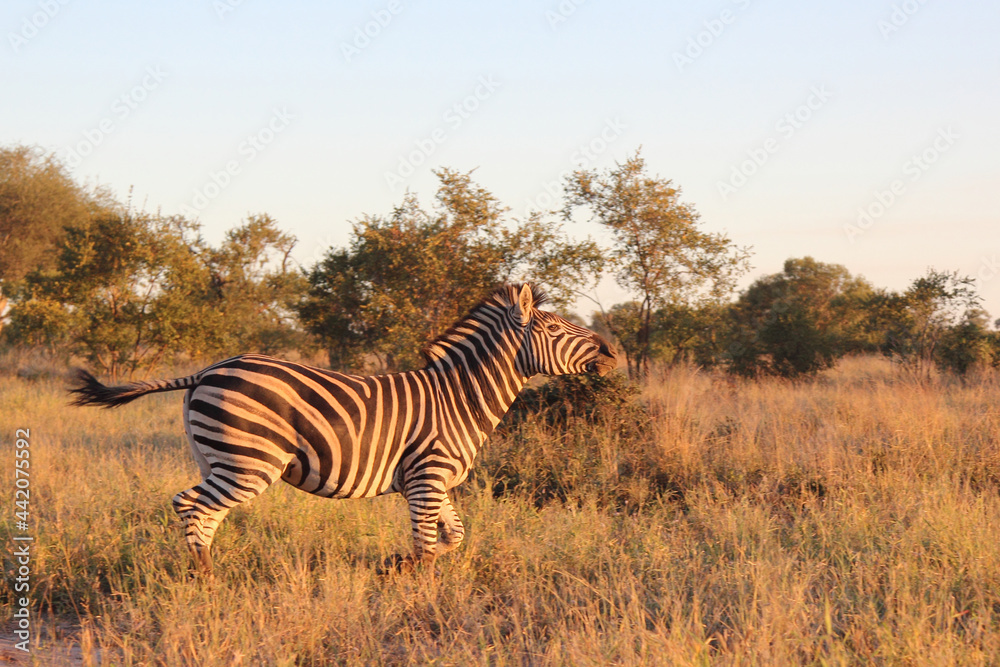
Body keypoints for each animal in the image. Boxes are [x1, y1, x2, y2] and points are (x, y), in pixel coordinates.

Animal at [69, 283, 617, 574]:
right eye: (554, 328)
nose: (612, 352)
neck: (460, 397)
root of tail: (206, 370)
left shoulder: (434, 482)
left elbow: (454, 536)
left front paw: (402, 568)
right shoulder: (427, 478)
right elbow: (426, 543)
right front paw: (418, 590)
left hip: (217, 457)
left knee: (203, 512)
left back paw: (209, 570)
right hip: (250, 463)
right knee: (191, 505)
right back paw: (206, 579)